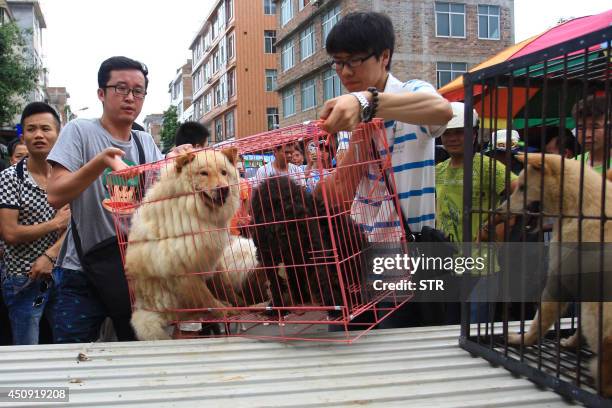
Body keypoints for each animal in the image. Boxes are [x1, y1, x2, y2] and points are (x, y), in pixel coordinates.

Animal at [125, 148, 247, 340]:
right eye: (203, 173)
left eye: (224, 172)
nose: (224, 189)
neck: (194, 210)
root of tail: (142, 306)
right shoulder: (184, 271)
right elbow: (206, 298)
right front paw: (224, 311)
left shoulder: (211, 258)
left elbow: (225, 286)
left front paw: (239, 303)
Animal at [249, 175, 368, 316]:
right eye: (273, 205)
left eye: (296, 199)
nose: (299, 215)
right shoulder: (268, 256)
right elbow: (276, 282)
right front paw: (278, 307)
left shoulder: (316, 248)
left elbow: (323, 277)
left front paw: (334, 306)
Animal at [504, 154, 608, 396]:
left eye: (522, 187)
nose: (503, 209)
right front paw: (571, 341)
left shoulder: (561, 274)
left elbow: (543, 315)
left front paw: (523, 338)